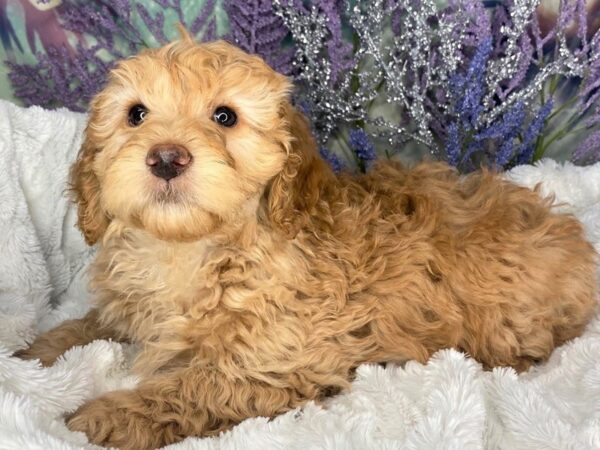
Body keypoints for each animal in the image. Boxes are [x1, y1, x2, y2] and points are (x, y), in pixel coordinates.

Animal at [18, 32, 600, 450]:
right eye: (136, 114)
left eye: (225, 116)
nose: (166, 156)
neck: (194, 248)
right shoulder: (133, 310)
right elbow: (87, 326)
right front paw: (30, 355)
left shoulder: (275, 360)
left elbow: (191, 387)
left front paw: (104, 416)